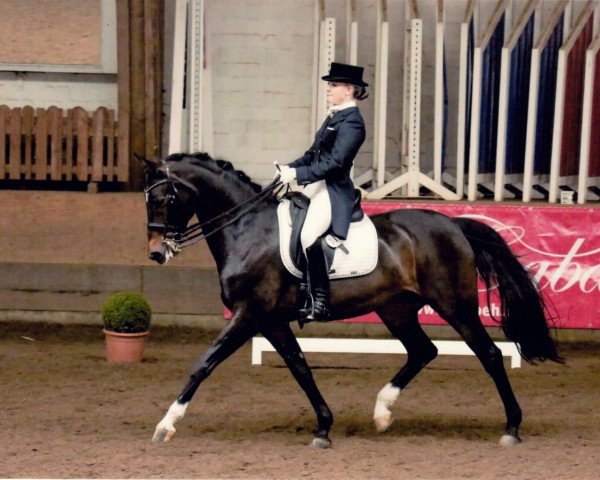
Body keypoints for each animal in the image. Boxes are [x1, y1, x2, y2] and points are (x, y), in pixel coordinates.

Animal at [143, 153, 560, 450]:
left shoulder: (249, 314)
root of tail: (454, 224)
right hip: (395, 308)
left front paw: (166, 424)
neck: (248, 231)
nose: (156, 254)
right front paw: (324, 427)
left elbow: (205, 363)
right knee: (423, 351)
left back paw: (511, 427)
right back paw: (382, 413)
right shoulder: (271, 321)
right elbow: (300, 367)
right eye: (148, 200)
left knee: (489, 354)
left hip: (455, 306)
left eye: (165, 198)